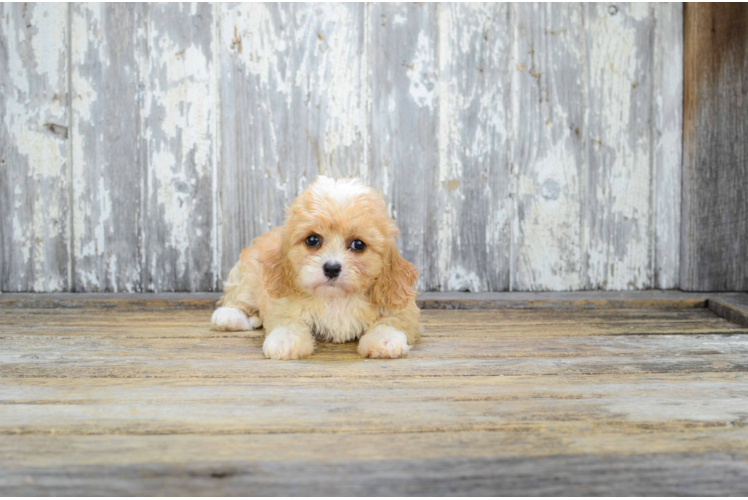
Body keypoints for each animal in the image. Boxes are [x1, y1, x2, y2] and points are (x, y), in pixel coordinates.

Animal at [210, 176, 420, 360]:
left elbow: (393, 320)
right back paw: (229, 317)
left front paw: (385, 339)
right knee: (238, 297)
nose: (332, 268)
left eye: (358, 244)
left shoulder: (401, 304)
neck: (335, 299)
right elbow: (288, 320)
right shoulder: (282, 301)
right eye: (312, 240)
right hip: (247, 275)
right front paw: (285, 340)